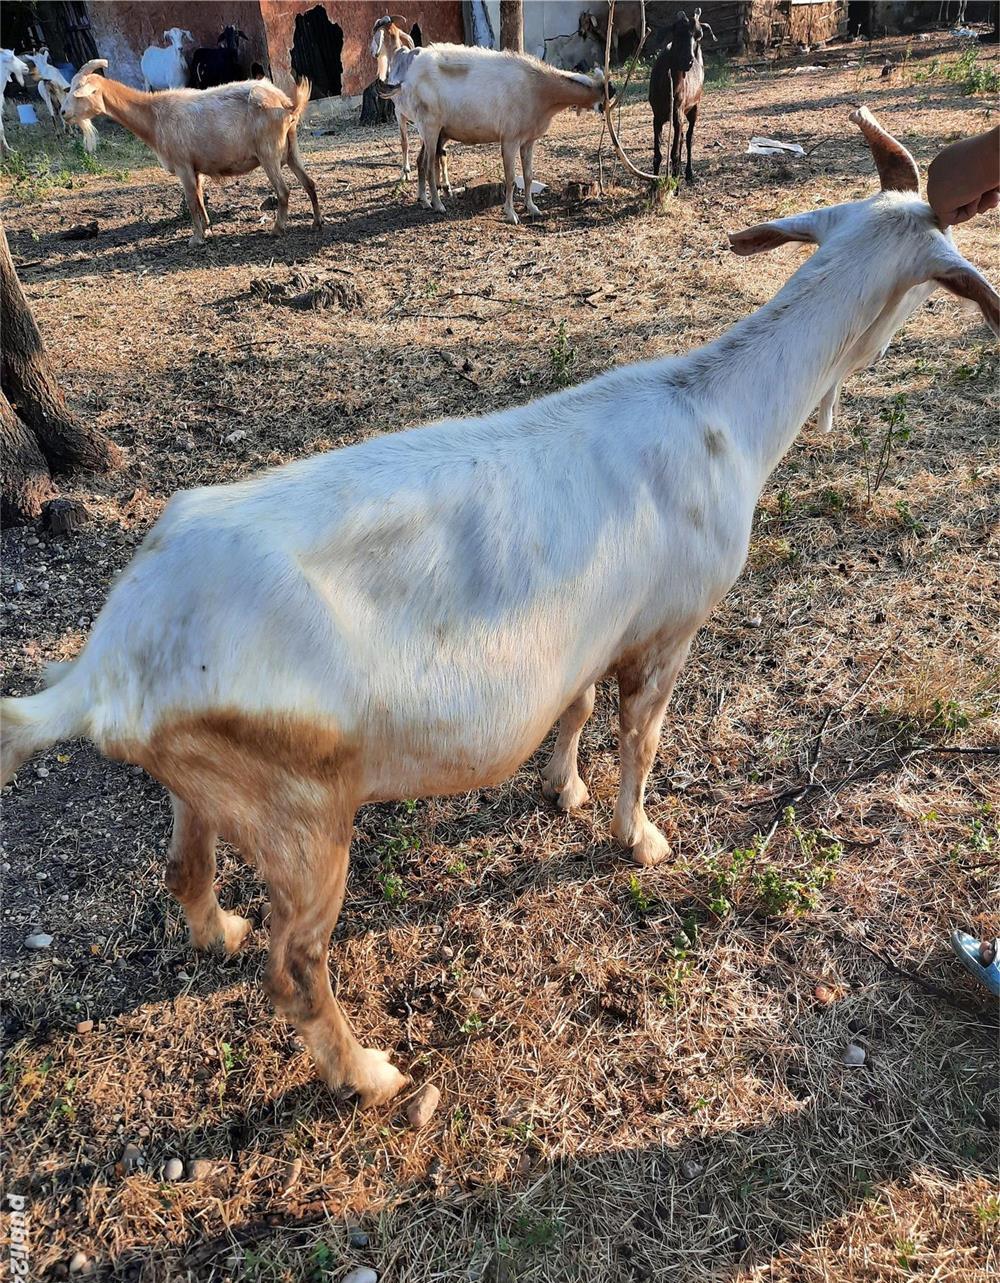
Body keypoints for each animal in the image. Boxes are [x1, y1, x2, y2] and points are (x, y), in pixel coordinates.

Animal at [4, 108, 995, 1109]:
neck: (724, 415)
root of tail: (105, 667)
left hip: (204, 781)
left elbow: (579, 704)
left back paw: (225, 933)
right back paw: (372, 1074)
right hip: (302, 810)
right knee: (297, 966)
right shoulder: (671, 625)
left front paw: (563, 787)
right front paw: (641, 838)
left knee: (183, 867)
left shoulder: (599, 627)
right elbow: (640, 739)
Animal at [60, 61, 321, 246]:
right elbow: (199, 198)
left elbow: (191, 201)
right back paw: (317, 222)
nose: (63, 113)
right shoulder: (196, 168)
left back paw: (277, 229)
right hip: (291, 149)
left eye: (79, 92)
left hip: (268, 152)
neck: (153, 117)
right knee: (309, 183)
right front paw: (206, 228)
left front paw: (195, 239)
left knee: (283, 191)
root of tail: (285, 104)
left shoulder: (183, 165)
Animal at [381, 44, 606, 224]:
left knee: (421, 161)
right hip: (430, 127)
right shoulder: (509, 139)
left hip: (437, 132)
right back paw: (438, 205)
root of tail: (408, 79)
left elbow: (528, 176)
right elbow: (510, 178)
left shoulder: (529, 141)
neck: (538, 87)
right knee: (428, 165)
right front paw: (511, 214)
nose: (604, 109)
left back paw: (424, 201)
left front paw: (532, 208)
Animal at [649, 7, 715, 181]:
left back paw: (689, 173)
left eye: (699, 35)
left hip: (694, 107)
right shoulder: (657, 116)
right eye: (677, 33)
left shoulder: (677, 113)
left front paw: (674, 183)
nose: (688, 61)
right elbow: (658, 154)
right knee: (683, 138)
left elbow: (674, 153)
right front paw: (654, 183)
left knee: (689, 138)